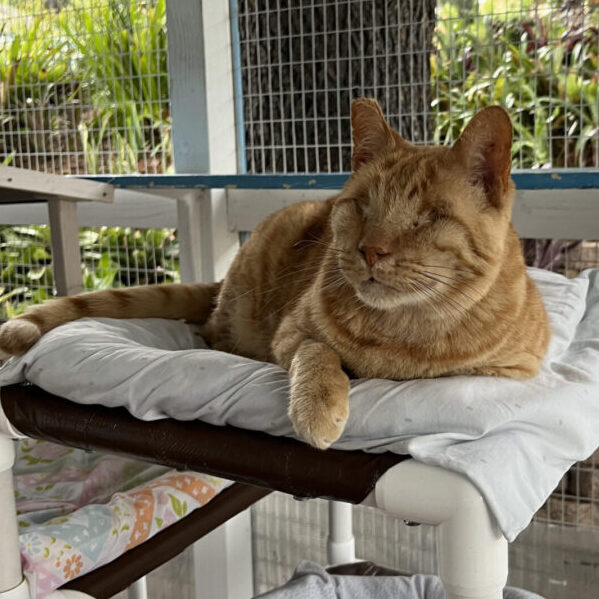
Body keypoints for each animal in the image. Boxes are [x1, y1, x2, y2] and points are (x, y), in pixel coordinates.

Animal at [0, 101, 548, 450]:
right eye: (361, 206)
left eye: (430, 217)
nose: (371, 250)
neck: (405, 333)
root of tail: (224, 280)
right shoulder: (293, 334)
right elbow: (319, 354)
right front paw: (318, 405)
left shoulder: (513, 371)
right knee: (213, 333)